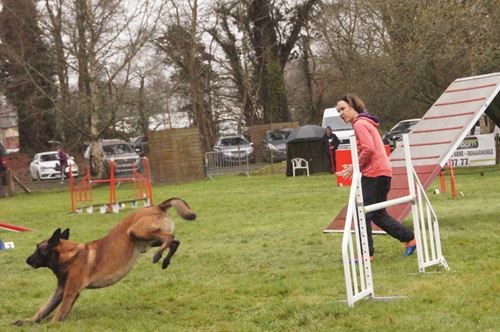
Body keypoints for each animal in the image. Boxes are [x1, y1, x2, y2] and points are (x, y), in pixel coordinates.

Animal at [14, 197, 194, 324]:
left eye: (38, 249)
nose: (27, 260)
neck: (70, 256)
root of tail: (157, 206)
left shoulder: (70, 292)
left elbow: (57, 314)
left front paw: (51, 325)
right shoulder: (60, 291)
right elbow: (43, 310)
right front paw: (27, 321)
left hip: (136, 231)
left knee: (170, 237)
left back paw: (158, 256)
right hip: (145, 240)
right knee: (175, 241)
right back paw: (165, 261)